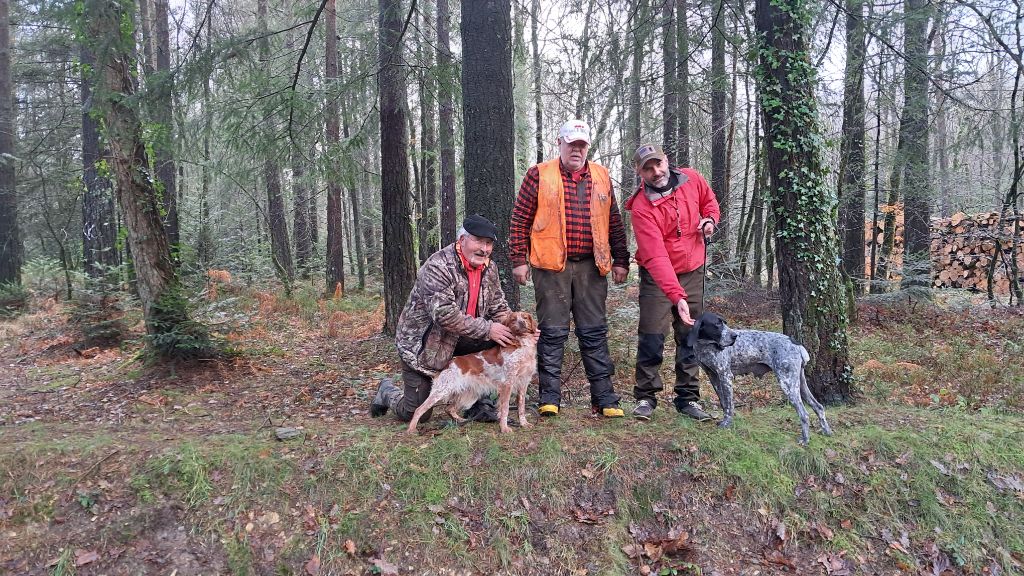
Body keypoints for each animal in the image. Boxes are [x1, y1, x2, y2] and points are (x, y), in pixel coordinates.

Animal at [407, 311, 538, 435]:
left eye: (525, 317)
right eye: (513, 319)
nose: (522, 322)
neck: (521, 344)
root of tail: (446, 366)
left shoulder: (523, 383)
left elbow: (521, 407)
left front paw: (524, 423)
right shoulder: (507, 384)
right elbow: (505, 409)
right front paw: (504, 428)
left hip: (468, 394)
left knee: (449, 409)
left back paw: (461, 421)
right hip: (442, 391)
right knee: (419, 409)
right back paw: (411, 429)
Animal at [686, 312, 833, 445]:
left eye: (724, 323)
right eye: (717, 324)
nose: (735, 336)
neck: (705, 346)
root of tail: (795, 343)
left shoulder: (725, 376)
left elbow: (728, 405)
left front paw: (727, 423)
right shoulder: (713, 376)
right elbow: (723, 402)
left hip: (787, 383)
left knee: (804, 414)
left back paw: (805, 440)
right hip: (799, 383)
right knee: (819, 407)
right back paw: (826, 431)